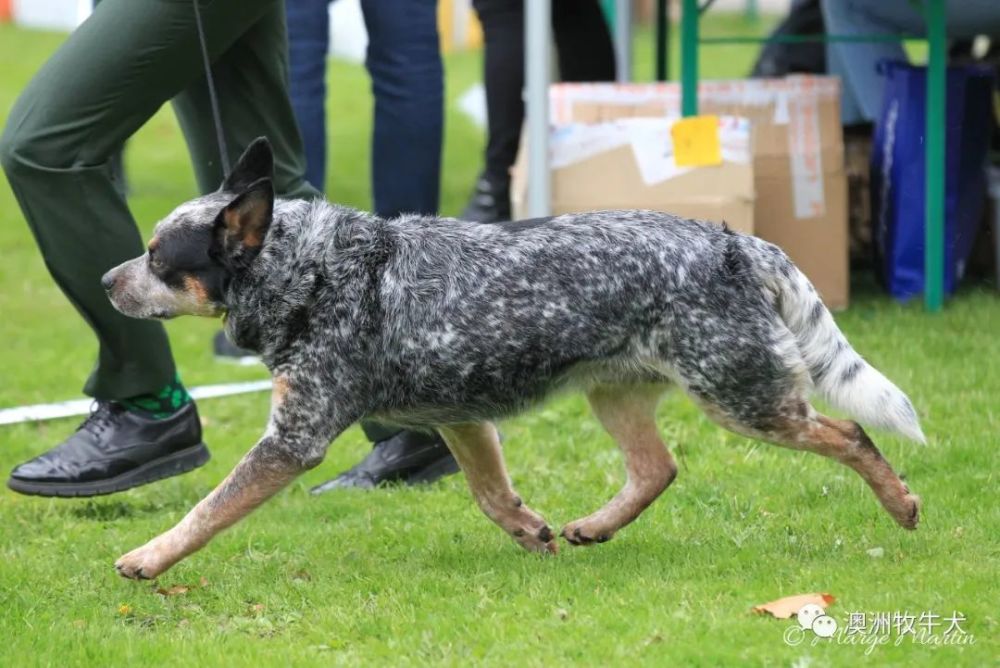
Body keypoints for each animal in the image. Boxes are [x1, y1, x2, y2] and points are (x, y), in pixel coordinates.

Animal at [101, 140, 920, 580]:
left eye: (159, 259)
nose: (107, 281)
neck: (312, 271)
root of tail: (736, 242)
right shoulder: (462, 419)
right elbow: (491, 495)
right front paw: (532, 532)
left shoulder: (292, 439)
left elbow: (210, 508)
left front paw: (148, 557)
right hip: (617, 394)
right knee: (658, 468)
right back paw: (595, 527)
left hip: (742, 396)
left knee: (850, 433)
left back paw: (902, 505)